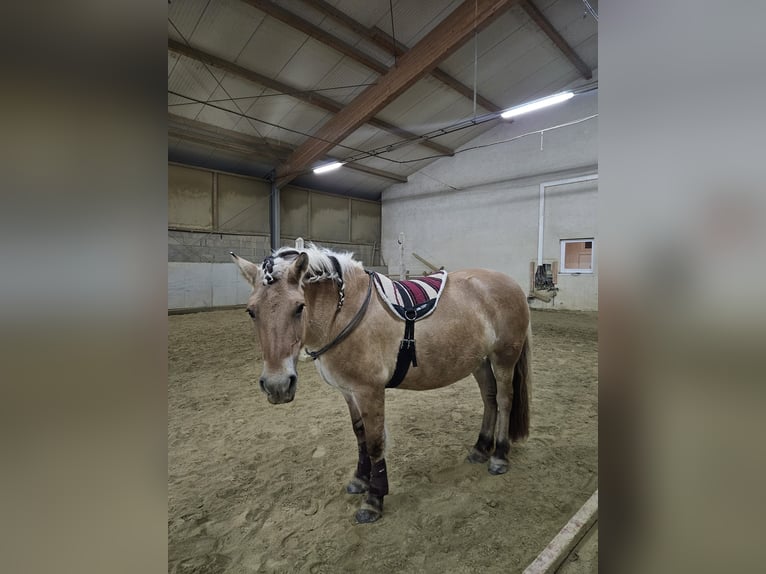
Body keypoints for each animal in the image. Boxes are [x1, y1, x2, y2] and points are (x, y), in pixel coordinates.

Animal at [232, 245, 536, 524]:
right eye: (251, 311)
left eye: (299, 307)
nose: (277, 385)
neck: (345, 313)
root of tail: (510, 284)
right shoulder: (349, 392)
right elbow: (360, 435)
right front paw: (359, 480)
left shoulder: (370, 392)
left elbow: (375, 442)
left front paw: (373, 500)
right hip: (480, 362)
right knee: (490, 398)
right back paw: (481, 448)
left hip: (503, 358)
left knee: (505, 400)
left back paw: (499, 456)